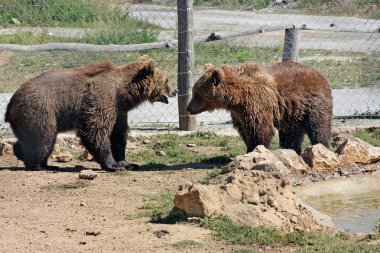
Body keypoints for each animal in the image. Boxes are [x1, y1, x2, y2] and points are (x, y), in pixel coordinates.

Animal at [5, 55, 175, 172]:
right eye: (167, 80)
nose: (175, 90)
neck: (123, 93)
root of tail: (12, 100)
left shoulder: (119, 110)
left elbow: (118, 135)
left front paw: (128, 163)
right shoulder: (101, 99)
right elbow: (95, 130)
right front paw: (112, 164)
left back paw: (23, 153)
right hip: (40, 110)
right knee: (43, 137)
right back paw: (41, 165)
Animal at [188, 60, 332, 154]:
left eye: (196, 94)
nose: (188, 108)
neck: (236, 98)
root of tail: (321, 76)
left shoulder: (257, 103)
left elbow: (260, 129)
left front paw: (255, 149)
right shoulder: (238, 113)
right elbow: (245, 130)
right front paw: (249, 148)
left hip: (313, 103)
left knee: (318, 127)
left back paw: (321, 146)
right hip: (293, 113)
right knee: (290, 133)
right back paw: (290, 149)